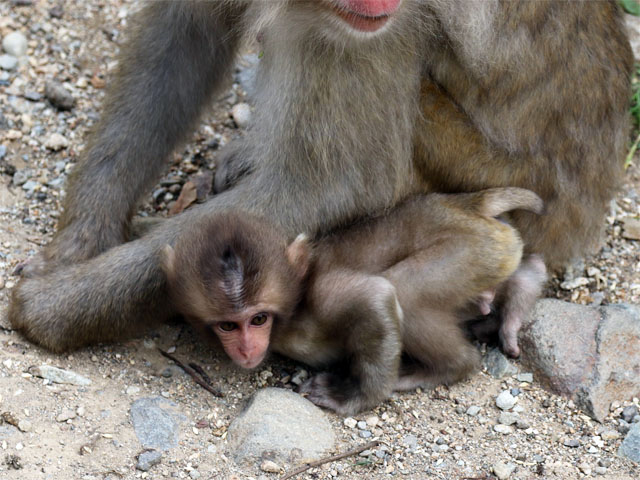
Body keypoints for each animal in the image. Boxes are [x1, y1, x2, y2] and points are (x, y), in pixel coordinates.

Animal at [162, 187, 544, 412]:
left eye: (258, 319)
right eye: (228, 325)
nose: (245, 349)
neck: (296, 303)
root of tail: (467, 203)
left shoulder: (324, 297)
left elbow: (375, 295)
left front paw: (352, 397)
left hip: (473, 246)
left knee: (404, 291)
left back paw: (444, 367)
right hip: (493, 249)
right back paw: (522, 291)